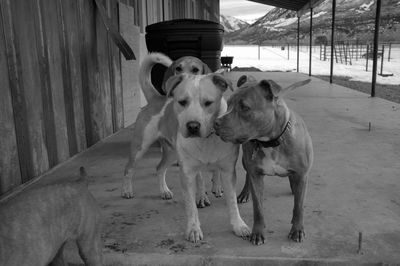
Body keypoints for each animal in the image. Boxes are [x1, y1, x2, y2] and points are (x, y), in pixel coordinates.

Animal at [216, 75, 312, 245]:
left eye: (245, 107)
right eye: (228, 104)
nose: (215, 123)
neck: (272, 141)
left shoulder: (302, 175)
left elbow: (299, 207)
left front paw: (297, 230)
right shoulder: (257, 176)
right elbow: (258, 208)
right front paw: (258, 233)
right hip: (245, 161)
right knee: (248, 176)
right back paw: (244, 194)